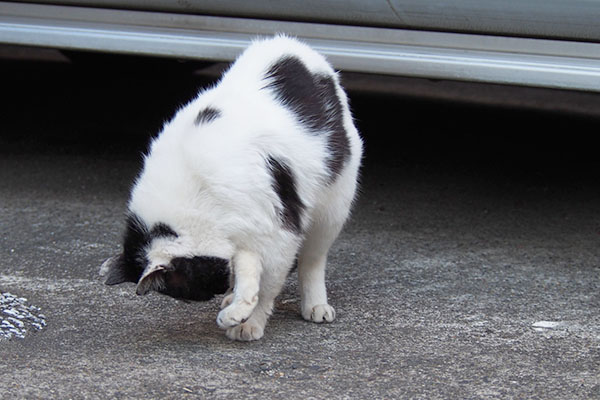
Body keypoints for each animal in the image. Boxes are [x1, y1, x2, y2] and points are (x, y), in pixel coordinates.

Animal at [100, 35, 360, 340]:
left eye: (187, 287)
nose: (208, 295)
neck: (198, 195)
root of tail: (288, 42)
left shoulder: (276, 232)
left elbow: (267, 284)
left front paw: (248, 323)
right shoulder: (245, 231)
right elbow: (249, 275)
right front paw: (237, 307)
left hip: (332, 207)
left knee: (313, 259)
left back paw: (315, 304)